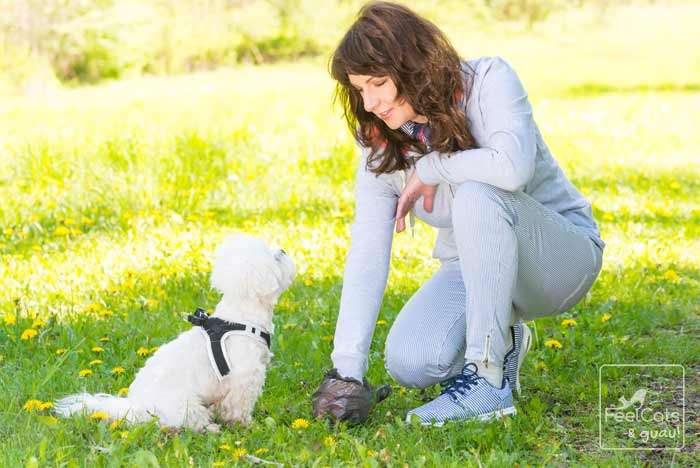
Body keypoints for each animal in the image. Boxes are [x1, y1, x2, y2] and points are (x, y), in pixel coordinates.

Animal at [54, 234, 296, 432]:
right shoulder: (245, 378)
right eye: (275, 258)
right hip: (185, 403)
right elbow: (238, 406)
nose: (284, 249)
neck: (242, 317)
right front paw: (245, 424)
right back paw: (210, 428)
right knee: (188, 421)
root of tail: (135, 406)